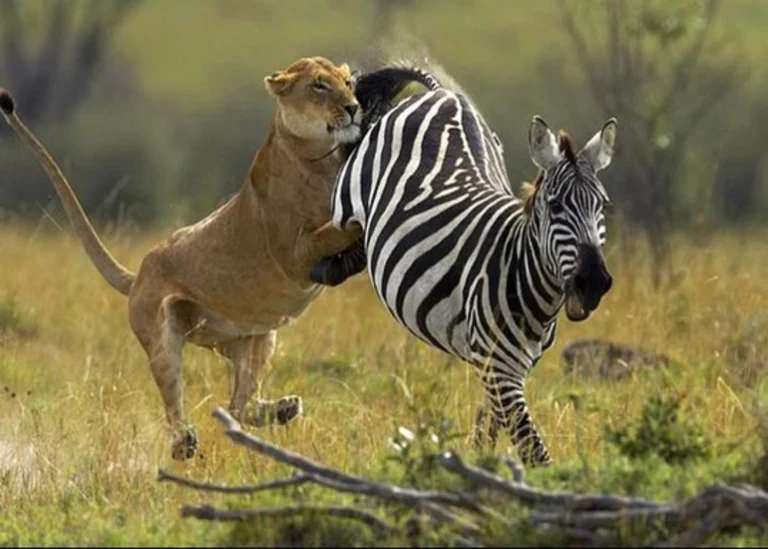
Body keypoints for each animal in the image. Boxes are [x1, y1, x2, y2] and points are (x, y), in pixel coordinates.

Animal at [312, 65, 617, 466]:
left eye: (603, 207)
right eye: (555, 206)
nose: (593, 282)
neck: (523, 272)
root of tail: (441, 94)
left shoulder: (510, 367)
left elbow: (488, 428)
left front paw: (478, 464)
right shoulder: (499, 367)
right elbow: (534, 451)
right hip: (345, 198)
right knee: (341, 221)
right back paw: (321, 265)